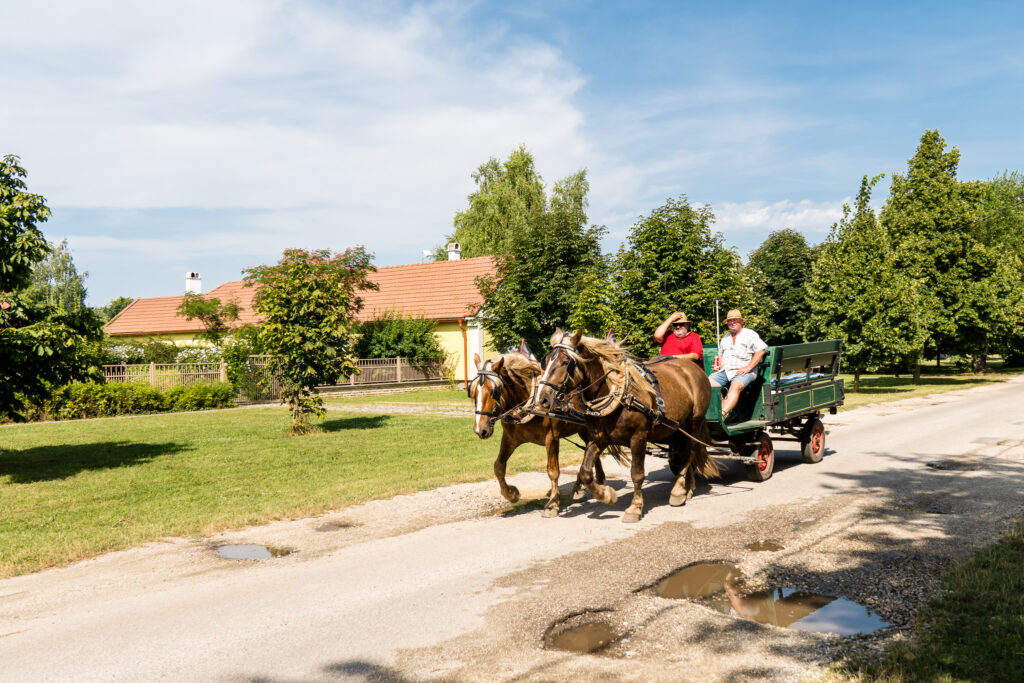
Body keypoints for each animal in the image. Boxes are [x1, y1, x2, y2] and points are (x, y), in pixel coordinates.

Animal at [468, 352, 618, 518]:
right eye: (473, 392)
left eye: (494, 391)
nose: (480, 429)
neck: (529, 404)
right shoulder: (510, 439)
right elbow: (498, 466)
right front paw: (511, 494)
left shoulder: (551, 438)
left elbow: (553, 471)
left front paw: (552, 504)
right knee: (590, 449)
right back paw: (587, 483)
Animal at [532, 331, 716, 524]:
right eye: (546, 361)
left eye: (565, 362)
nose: (542, 399)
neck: (617, 394)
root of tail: (694, 369)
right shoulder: (598, 439)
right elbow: (585, 471)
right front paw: (606, 495)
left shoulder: (638, 438)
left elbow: (637, 474)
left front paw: (635, 508)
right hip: (674, 430)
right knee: (684, 453)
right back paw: (688, 488)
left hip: (693, 423)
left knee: (690, 453)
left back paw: (678, 491)